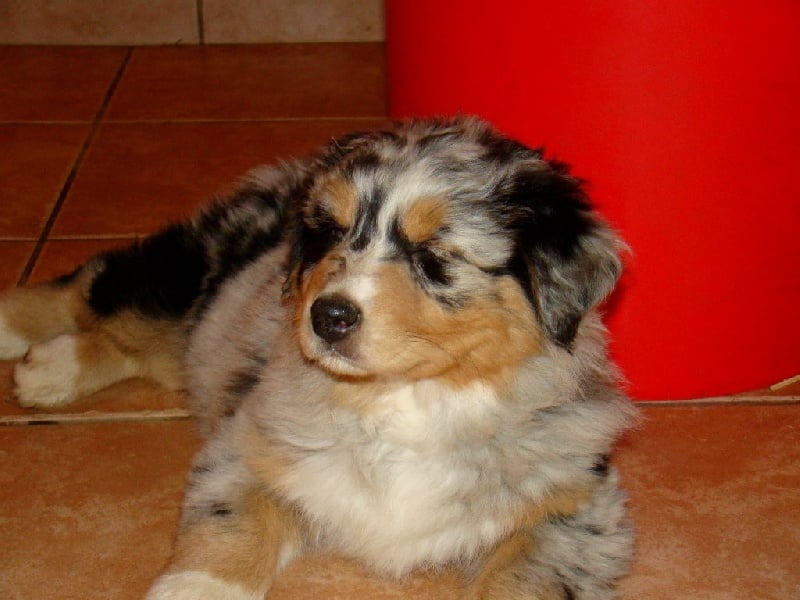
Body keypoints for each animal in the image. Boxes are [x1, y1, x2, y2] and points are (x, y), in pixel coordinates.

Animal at [0, 116, 635, 599]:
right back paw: (28, 345)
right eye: (331, 233)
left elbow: (529, 577)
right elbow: (229, 527)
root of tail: (289, 172)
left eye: (434, 256)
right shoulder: (249, 440)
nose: (327, 317)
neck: (407, 401)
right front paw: (194, 590)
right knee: (97, 289)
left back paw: (46, 370)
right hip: (188, 270)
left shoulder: (576, 503)